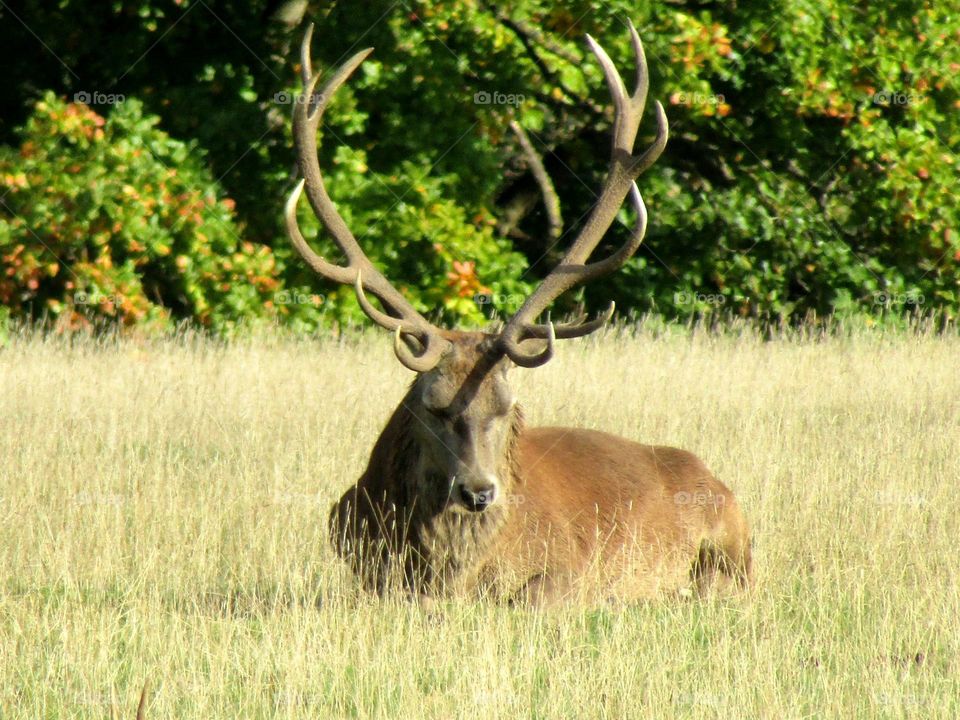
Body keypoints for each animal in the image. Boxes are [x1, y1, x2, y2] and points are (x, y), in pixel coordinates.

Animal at [284, 22, 752, 604]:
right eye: (432, 407)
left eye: (507, 408)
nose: (479, 491)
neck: (450, 573)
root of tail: (715, 479)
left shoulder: (570, 566)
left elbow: (534, 595)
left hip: (731, 543)